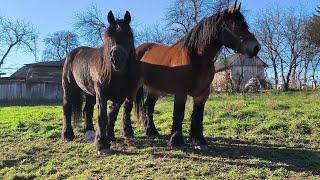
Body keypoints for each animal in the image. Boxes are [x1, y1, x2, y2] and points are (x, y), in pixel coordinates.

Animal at [60, 10, 138, 155]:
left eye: (129, 36)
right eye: (108, 36)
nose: (117, 58)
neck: (116, 74)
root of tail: (73, 53)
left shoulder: (120, 96)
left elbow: (112, 115)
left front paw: (110, 137)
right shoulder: (102, 94)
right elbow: (102, 116)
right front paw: (102, 145)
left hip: (90, 92)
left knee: (87, 110)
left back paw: (90, 132)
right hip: (69, 88)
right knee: (67, 108)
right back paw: (68, 135)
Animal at [120, 1, 260, 147]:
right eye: (236, 25)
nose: (256, 47)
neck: (197, 58)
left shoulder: (202, 94)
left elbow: (198, 115)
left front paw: (198, 139)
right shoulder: (181, 92)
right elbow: (179, 113)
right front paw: (176, 140)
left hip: (154, 88)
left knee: (148, 107)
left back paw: (151, 131)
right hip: (134, 87)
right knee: (127, 106)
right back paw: (128, 132)